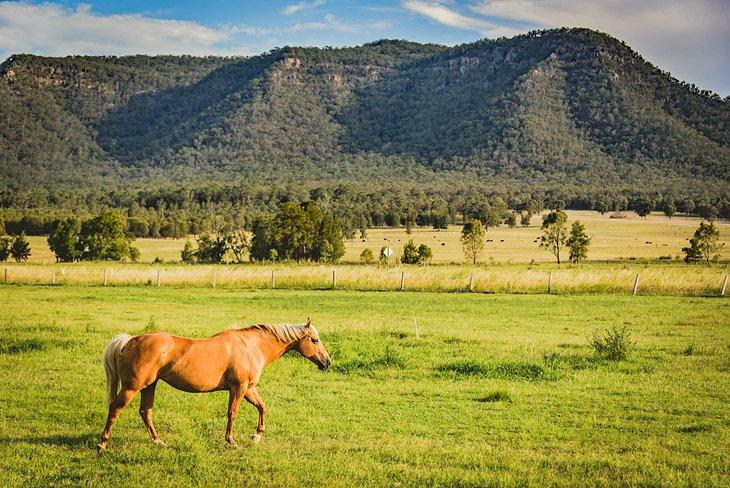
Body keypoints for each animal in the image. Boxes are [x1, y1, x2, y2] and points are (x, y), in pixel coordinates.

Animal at [97, 317, 331, 451]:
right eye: (315, 340)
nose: (327, 362)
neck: (251, 346)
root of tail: (130, 341)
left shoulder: (249, 389)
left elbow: (262, 407)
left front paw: (256, 436)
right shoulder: (239, 388)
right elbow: (232, 414)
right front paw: (232, 441)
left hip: (149, 386)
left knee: (146, 412)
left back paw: (158, 441)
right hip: (132, 387)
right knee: (115, 408)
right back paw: (102, 444)